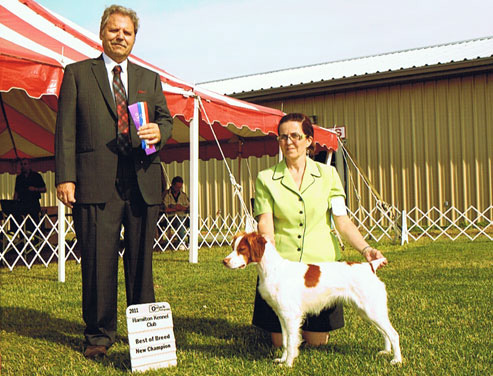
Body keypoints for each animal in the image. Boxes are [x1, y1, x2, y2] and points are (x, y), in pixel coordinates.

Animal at [223, 232, 400, 368]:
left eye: (242, 249)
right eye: (233, 248)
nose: (224, 261)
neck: (272, 270)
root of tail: (369, 266)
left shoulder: (291, 316)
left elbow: (291, 341)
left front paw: (288, 364)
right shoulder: (282, 315)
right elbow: (285, 340)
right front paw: (282, 359)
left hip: (372, 310)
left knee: (393, 333)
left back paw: (396, 360)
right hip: (367, 311)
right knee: (384, 332)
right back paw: (386, 351)